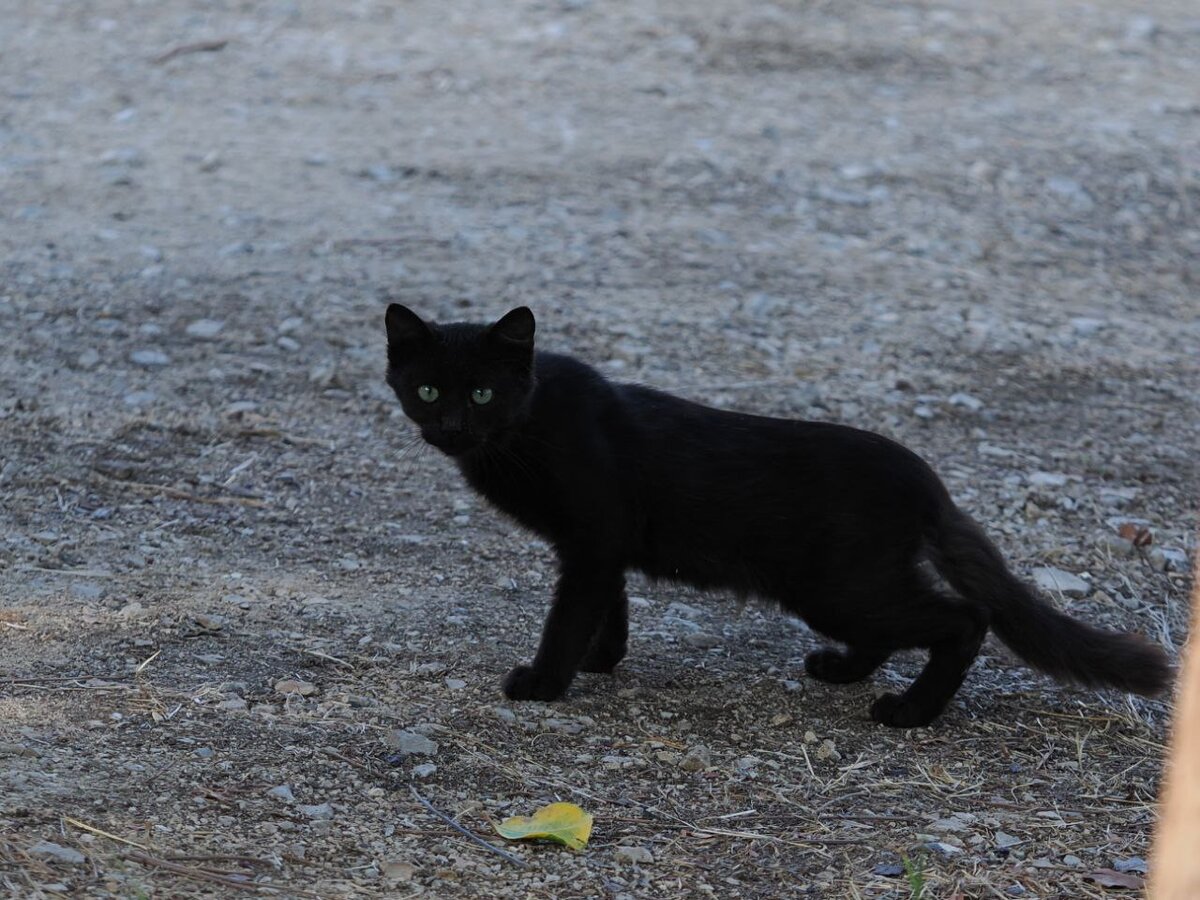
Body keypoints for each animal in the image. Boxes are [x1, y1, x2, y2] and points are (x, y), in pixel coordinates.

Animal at [384, 307, 1171, 729]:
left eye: (482, 394)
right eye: (427, 389)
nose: (451, 427)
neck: (525, 430)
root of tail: (924, 479)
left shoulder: (590, 541)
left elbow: (571, 615)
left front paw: (546, 682)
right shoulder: (602, 548)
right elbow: (612, 606)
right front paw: (603, 661)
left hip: (835, 586)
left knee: (963, 619)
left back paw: (908, 712)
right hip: (846, 587)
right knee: (901, 626)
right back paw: (843, 671)